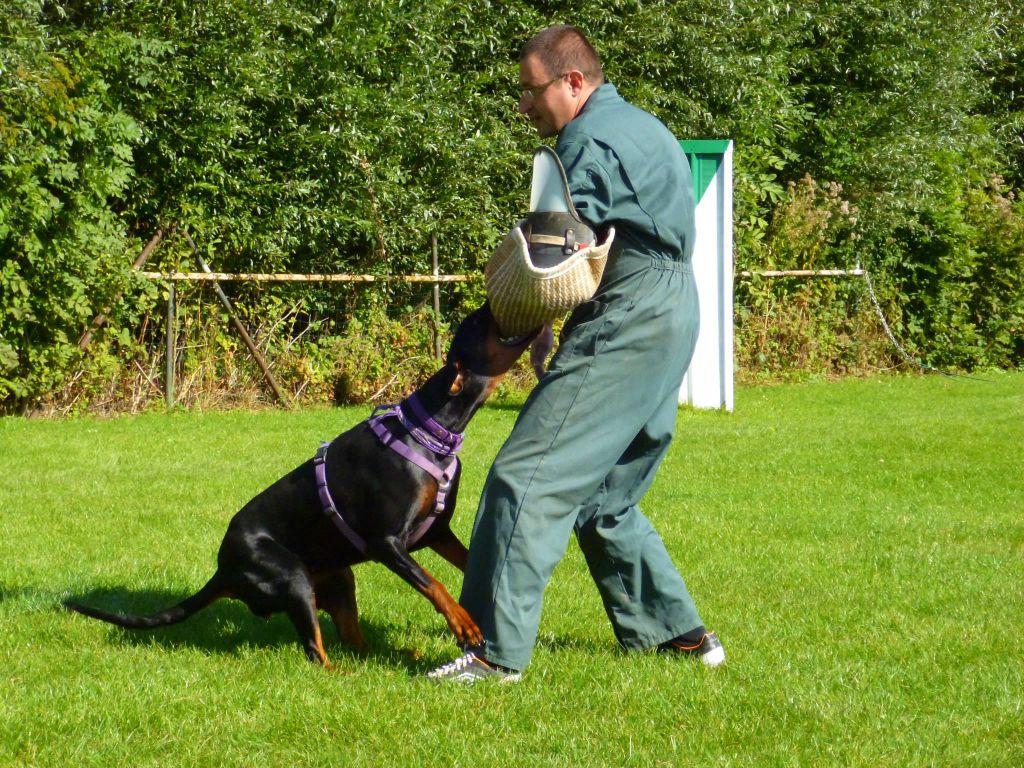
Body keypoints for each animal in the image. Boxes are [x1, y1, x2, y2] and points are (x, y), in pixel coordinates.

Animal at [61, 307, 536, 667]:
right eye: (479, 324)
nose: (485, 305)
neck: (430, 430)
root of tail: (224, 570)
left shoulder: (434, 532)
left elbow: (469, 559)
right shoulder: (387, 542)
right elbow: (432, 583)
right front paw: (464, 623)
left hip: (338, 577)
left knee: (352, 642)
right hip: (290, 577)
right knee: (315, 652)